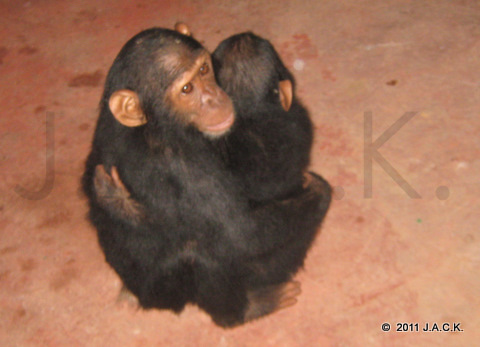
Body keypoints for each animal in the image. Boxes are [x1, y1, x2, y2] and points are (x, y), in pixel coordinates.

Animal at [83, 27, 330, 328]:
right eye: (186, 89)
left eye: (203, 70)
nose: (214, 97)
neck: (154, 125)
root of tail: (139, 296)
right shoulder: (182, 161)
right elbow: (241, 233)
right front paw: (319, 190)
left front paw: (110, 197)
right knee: (203, 253)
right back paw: (244, 310)